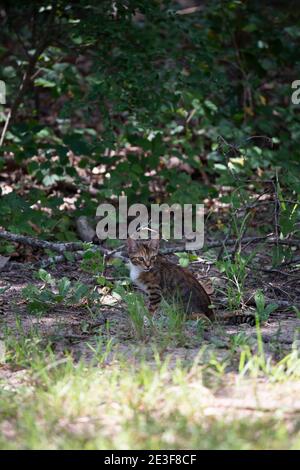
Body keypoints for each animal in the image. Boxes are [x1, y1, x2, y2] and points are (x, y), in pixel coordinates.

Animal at [126, 237, 255, 324]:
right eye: (140, 258)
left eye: (152, 258)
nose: (148, 266)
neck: (139, 270)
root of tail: (210, 312)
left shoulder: (155, 292)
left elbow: (151, 309)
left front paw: (146, 320)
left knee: (204, 319)